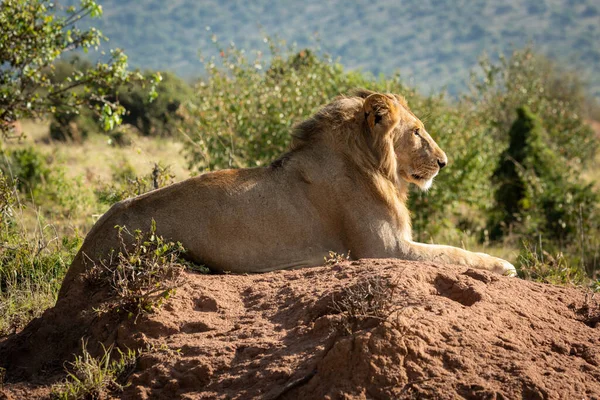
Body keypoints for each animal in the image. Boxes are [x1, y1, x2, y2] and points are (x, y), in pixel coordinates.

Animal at [58, 90, 512, 294]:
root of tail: (80, 255)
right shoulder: (385, 249)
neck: (372, 163)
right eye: (417, 132)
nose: (444, 162)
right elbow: (453, 252)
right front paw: (505, 265)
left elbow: (450, 250)